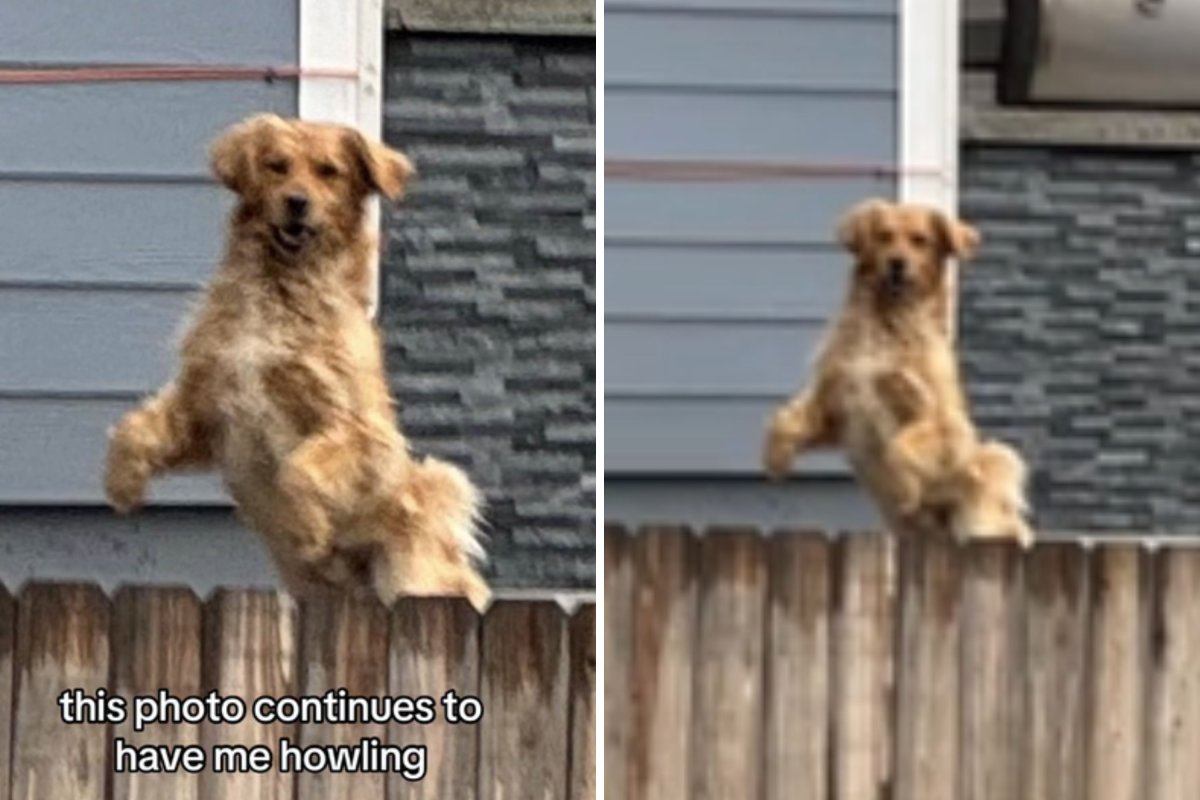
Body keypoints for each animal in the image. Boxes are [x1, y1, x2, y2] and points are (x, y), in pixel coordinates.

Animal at [105, 113, 489, 606]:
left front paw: (306, 529)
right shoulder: (207, 408)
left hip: (414, 571)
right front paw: (122, 484)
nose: (297, 203)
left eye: (328, 171)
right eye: (277, 166)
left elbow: (299, 468)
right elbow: (134, 429)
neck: (279, 287)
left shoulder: (362, 430)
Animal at [768, 197, 1032, 546]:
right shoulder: (837, 407)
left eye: (920, 240)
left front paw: (903, 488)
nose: (897, 263)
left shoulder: (948, 426)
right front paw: (776, 458)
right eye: (884, 236)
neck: (887, 318)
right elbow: (784, 420)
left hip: (994, 461)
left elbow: (899, 446)